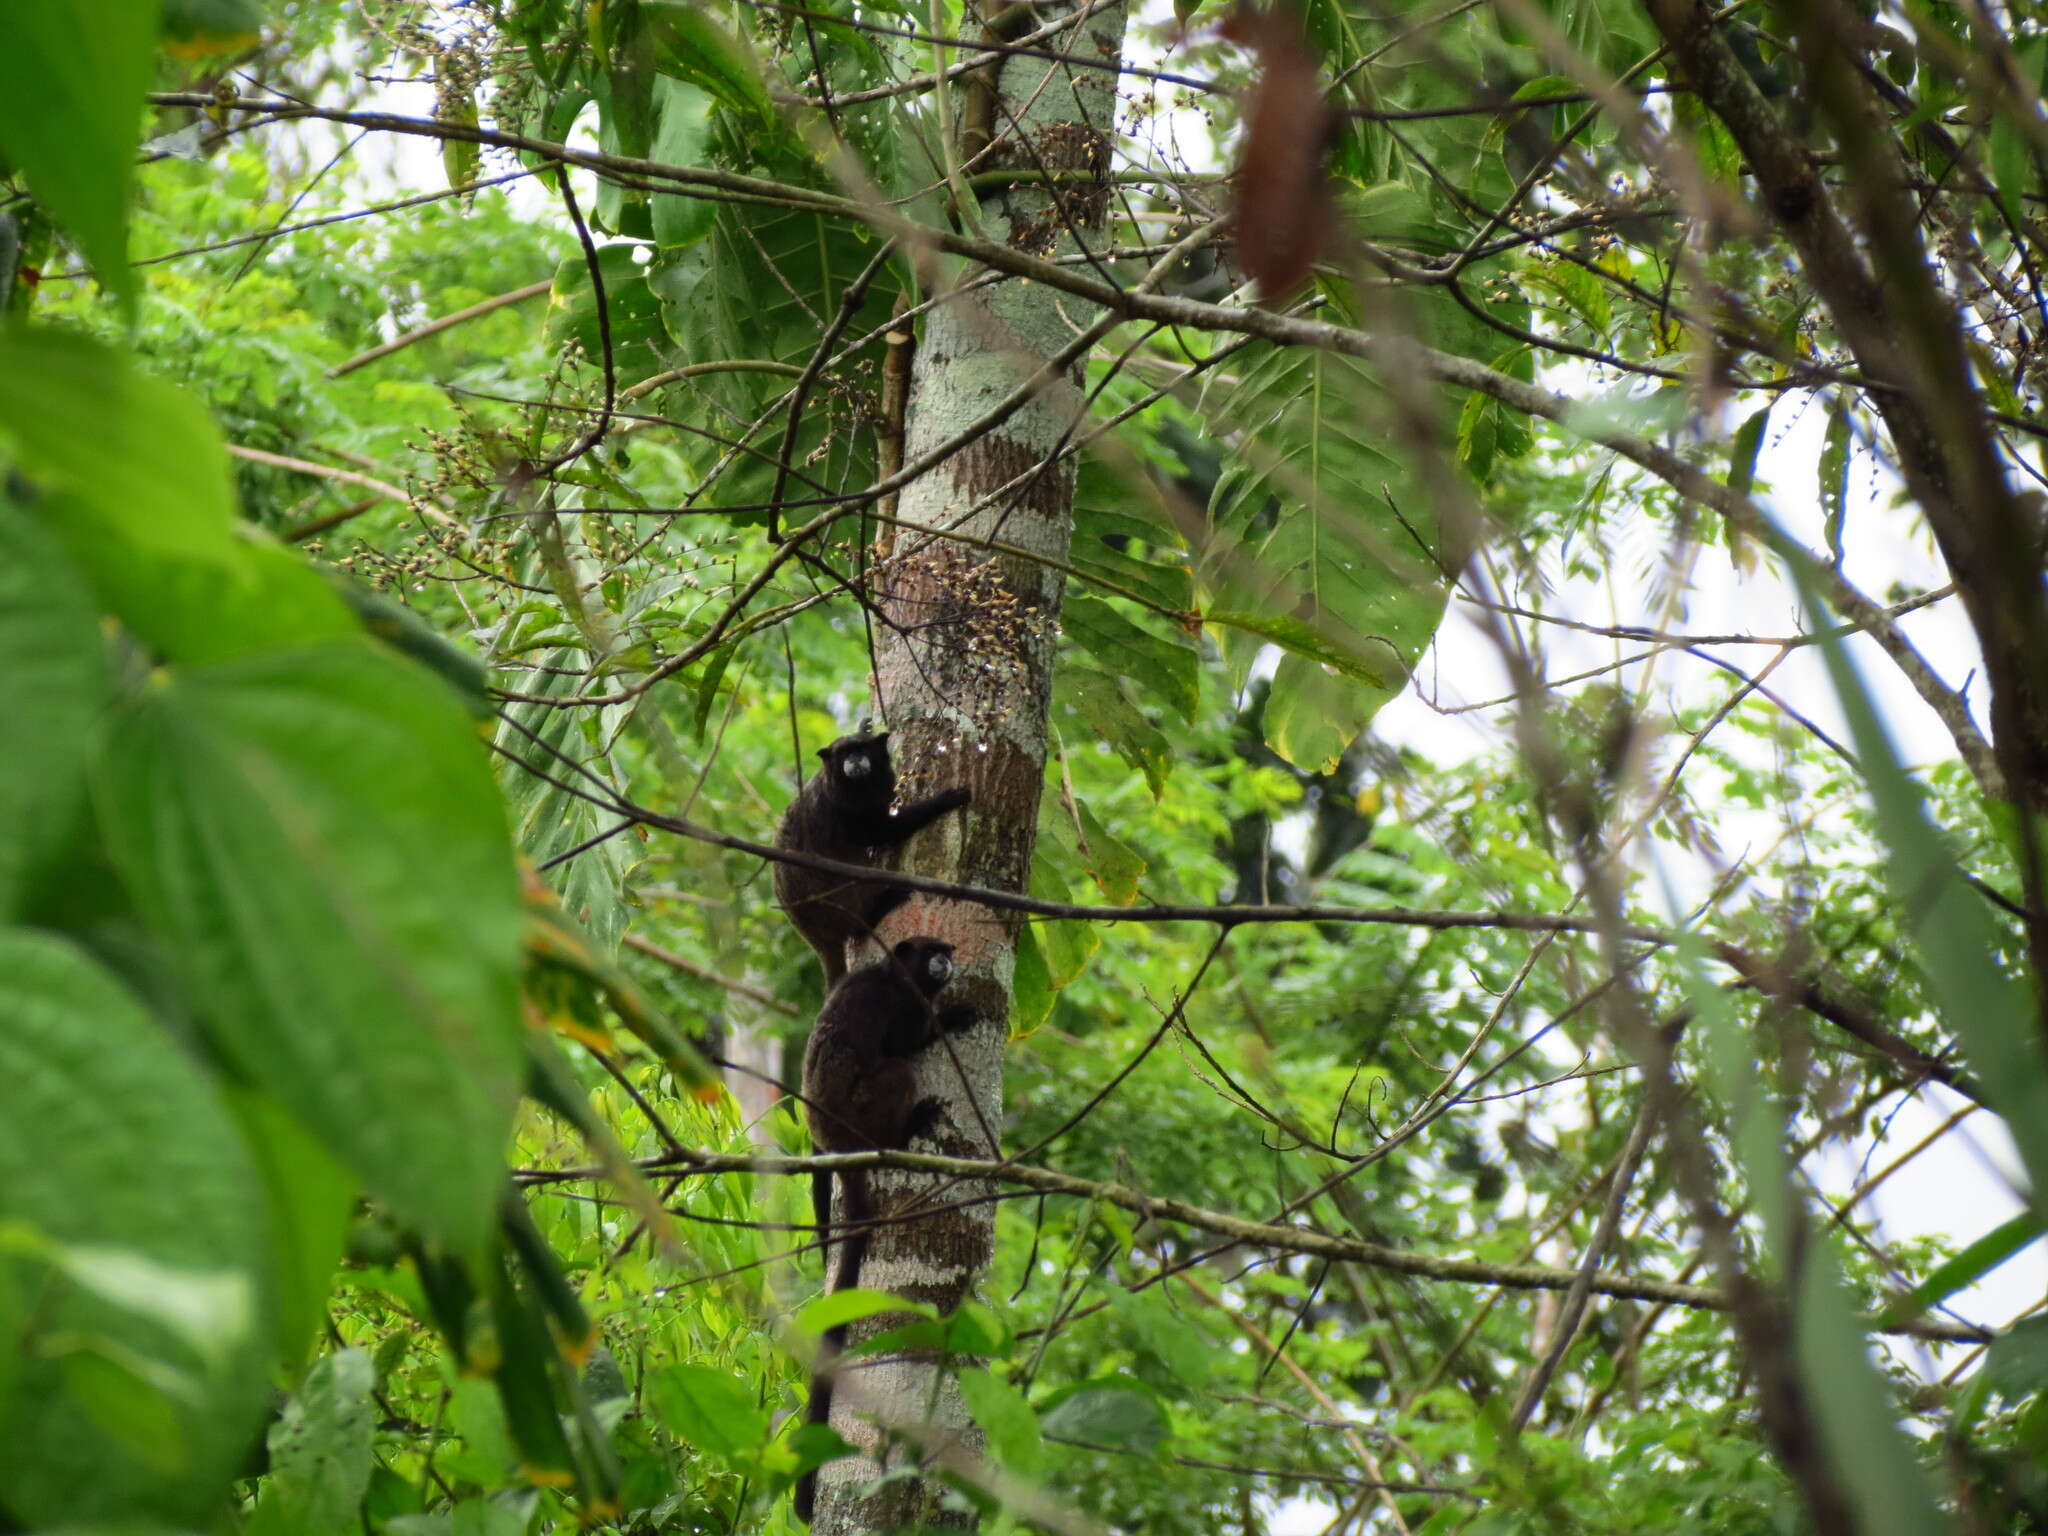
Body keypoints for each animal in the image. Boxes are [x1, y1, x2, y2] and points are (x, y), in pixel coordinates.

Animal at [770, 737, 970, 987]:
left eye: (861, 749)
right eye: (844, 753)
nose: (854, 759)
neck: (862, 786)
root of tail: (815, 935)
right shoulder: (844, 804)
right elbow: (880, 831)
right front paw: (945, 800)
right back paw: (876, 908)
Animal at [790, 937, 974, 1531]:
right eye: (934, 952)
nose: (946, 963)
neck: (894, 971)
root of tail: (840, 1142)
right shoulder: (897, 999)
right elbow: (907, 1041)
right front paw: (951, 1017)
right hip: (866, 1106)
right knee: (895, 1068)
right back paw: (905, 1127)